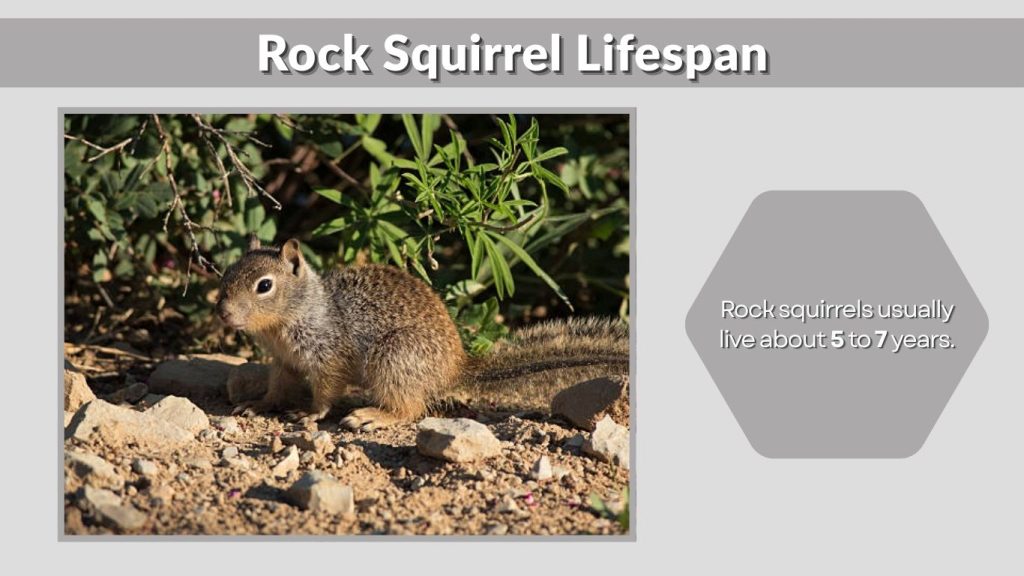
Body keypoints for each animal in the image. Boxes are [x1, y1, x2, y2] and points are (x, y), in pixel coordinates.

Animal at [216, 236, 628, 430]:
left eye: (264, 286)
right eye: (228, 272)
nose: (223, 312)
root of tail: (456, 369)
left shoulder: (329, 356)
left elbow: (326, 392)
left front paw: (310, 414)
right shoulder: (282, 362)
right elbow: (277, 387)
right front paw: (260, 404)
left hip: (393, 359)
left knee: (411, 408)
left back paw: (371, 416)